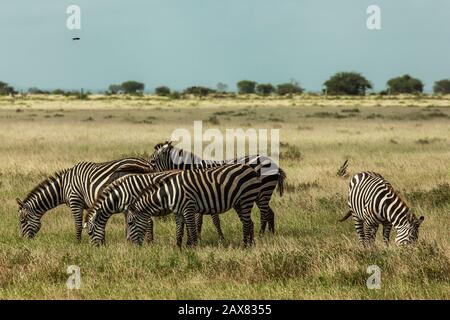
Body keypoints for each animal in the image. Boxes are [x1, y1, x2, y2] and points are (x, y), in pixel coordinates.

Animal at [16, 158, 153, 240]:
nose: (22, 239)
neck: (63, 187)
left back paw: (149, 243)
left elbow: (78, 224)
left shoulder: (75, 201)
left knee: (148, 221)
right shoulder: (89, 205)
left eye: (22, 220)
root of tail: (147, 164)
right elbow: (95, 221)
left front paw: (78, 243)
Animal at [126, 164, 260, 249]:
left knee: (246, 223)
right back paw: (251, 244)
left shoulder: (188, 208)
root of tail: (250, 168)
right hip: (238, 203)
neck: (169, 193)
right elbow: (179, 231)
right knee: (250, 222)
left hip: (246, 198)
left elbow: (192, 230)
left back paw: (244, 246)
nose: (132, 246)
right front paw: (178, 249)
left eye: (130, 223)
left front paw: (194, 249)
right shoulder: (179, 212)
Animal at [148, 141, 288, 238]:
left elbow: (214, 220)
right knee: (270, 213)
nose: (150, 179)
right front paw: (198, 236)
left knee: (264, 214)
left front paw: (219, 238)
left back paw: (261, 235)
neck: (192, 168)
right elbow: (199, 220)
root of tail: (273, 163)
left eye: (153, 161)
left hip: (264, 192)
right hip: (259, 195)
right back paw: (271, 234)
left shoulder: (210, 195)